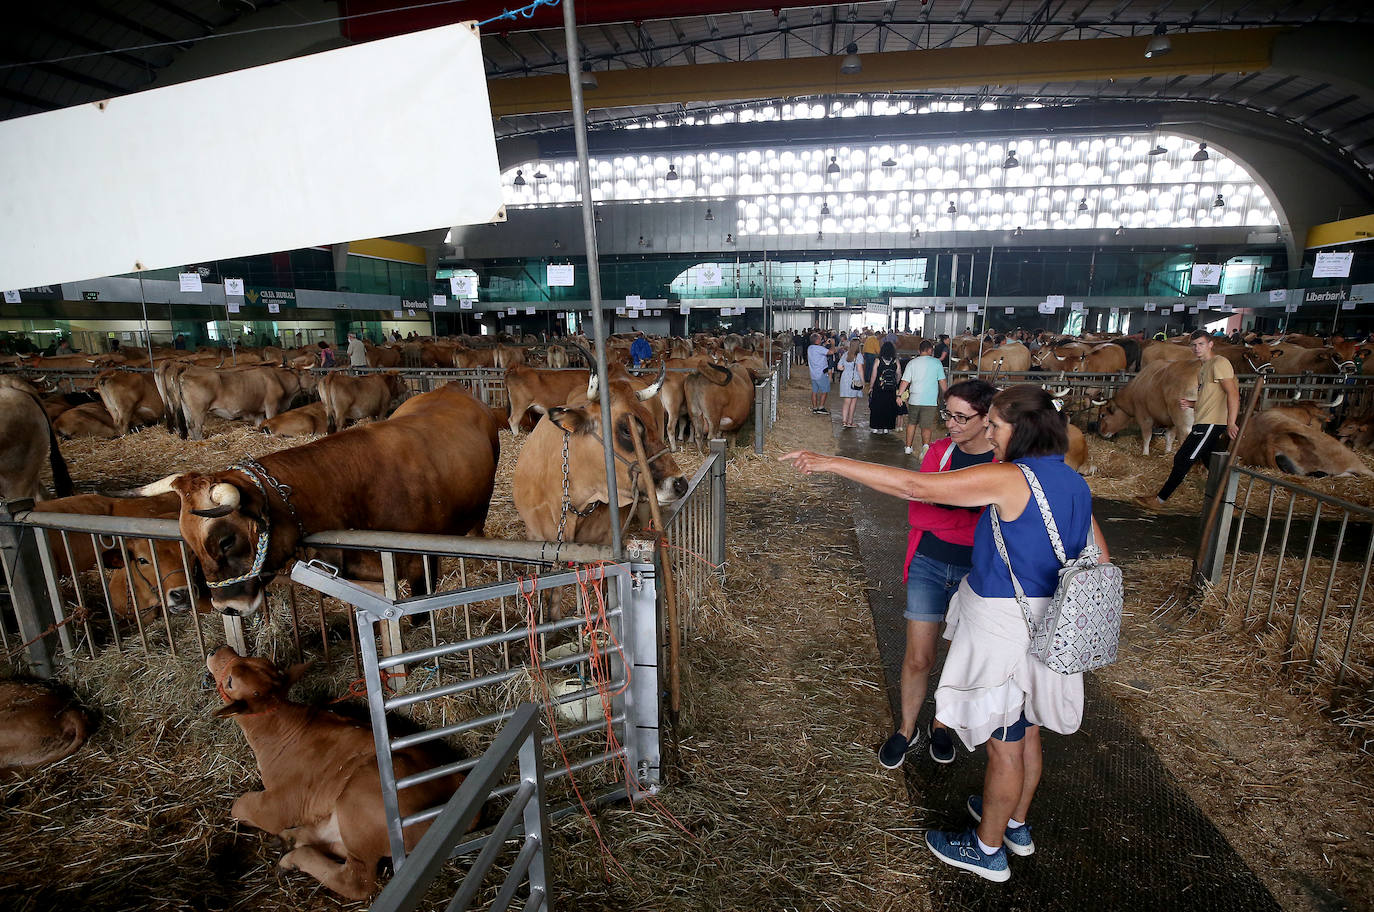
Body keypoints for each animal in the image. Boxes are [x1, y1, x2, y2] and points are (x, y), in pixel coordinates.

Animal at [132, 381, 500, 615]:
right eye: (188, 542)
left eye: (226, 540)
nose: (228, 608)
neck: (351, 484)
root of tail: (451, 387)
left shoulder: (421, 565)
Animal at [201, 648, 461, 895]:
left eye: (230, 682)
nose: (216, 649)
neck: (277, 729)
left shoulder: (278, 806)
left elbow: (239, 806)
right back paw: (290, 841)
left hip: (361, 799)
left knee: (357, 880)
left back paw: (293, 859)